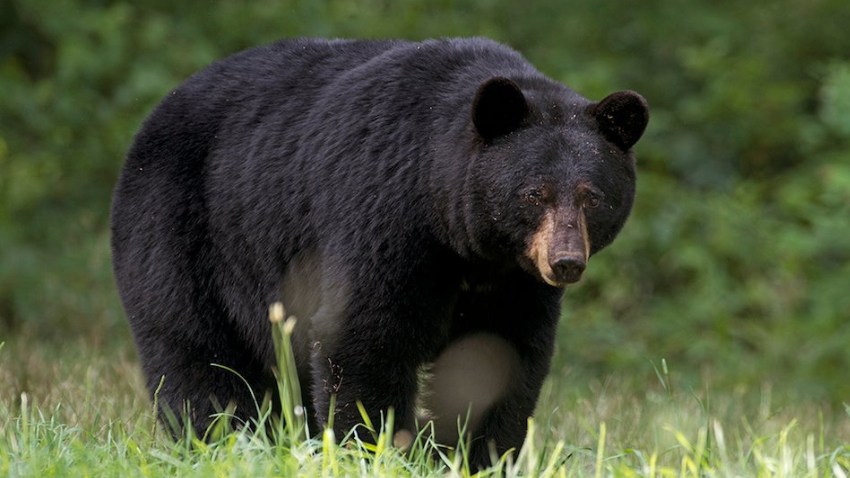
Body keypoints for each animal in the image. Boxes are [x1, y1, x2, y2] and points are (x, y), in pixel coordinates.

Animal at [109, 38, 644, 466]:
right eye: (534, 194)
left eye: (592, 196)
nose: (565, 262)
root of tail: (156, 113)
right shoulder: (381, 215)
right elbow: (364, 337)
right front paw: (372, 450)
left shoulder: (514, 280)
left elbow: (502, 353)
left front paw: (479, 455)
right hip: (181, 230)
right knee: (195, 351)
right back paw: (221, 442)